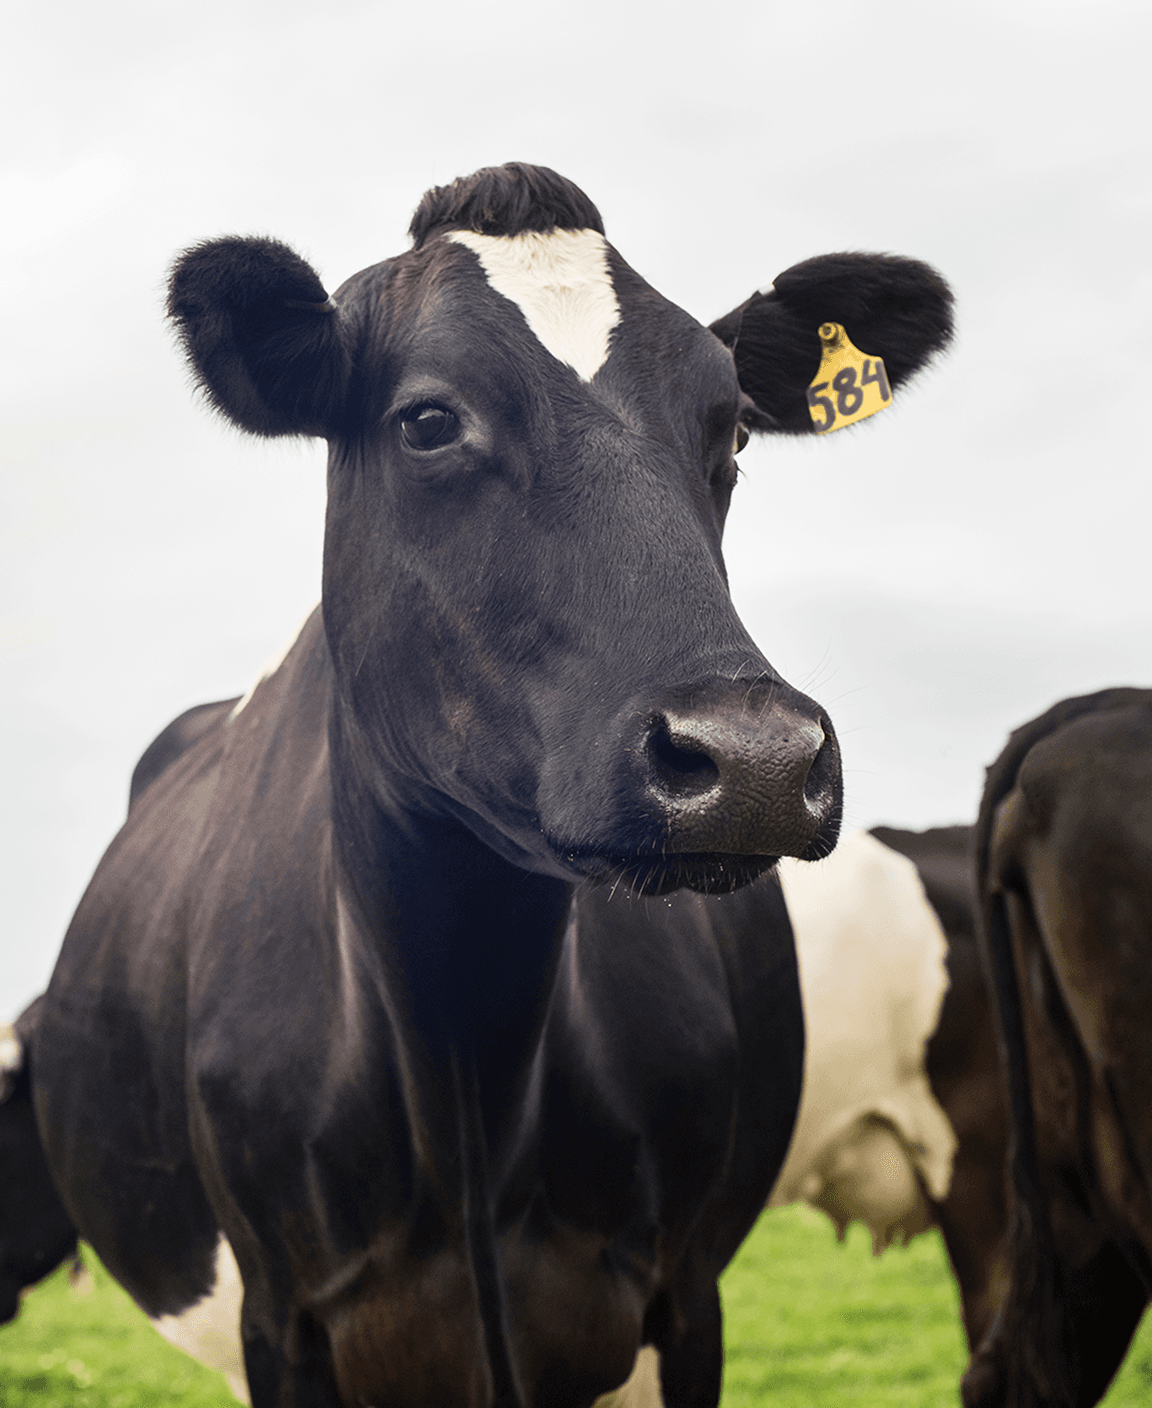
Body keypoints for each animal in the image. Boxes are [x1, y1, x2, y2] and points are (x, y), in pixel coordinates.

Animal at [28, 162, 952, 1408]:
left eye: (732, 431)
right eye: (427, 421)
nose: (755, 758)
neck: (466, 1058)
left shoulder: (685, 1296)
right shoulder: (283, 1321)